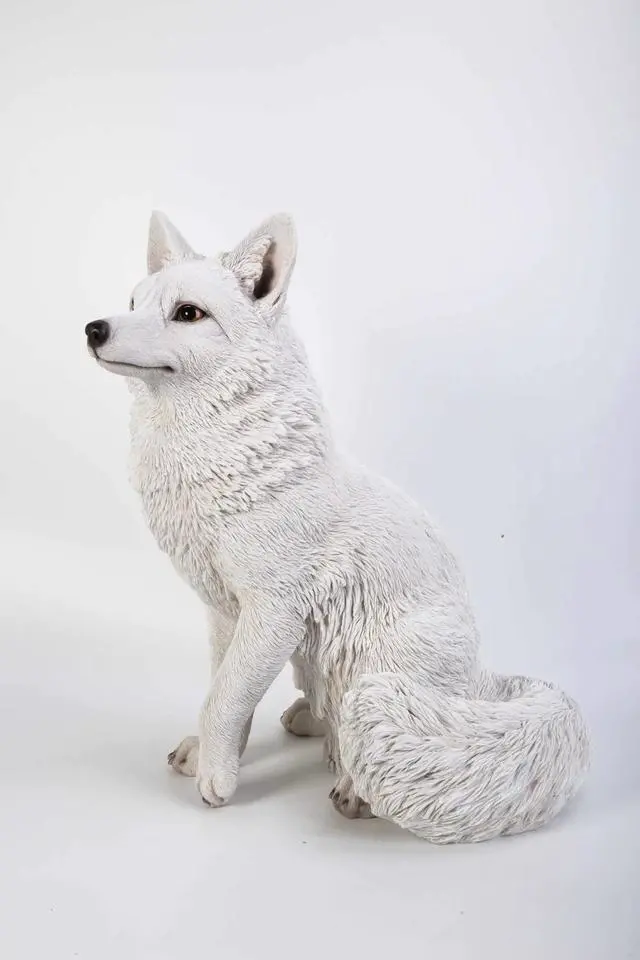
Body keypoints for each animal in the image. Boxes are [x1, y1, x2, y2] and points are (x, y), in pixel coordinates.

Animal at [85, 211, 590, 842]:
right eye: (133, 302)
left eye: (187, 313)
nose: (94, 328)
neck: (221, 459)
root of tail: (482, 685)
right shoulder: (225, 613)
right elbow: (224, 691)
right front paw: (211, 754)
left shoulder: (273, 613)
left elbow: (224, 698)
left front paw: (217, 779)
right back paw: (311, 720)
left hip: (385, 657)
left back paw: (353, 786)